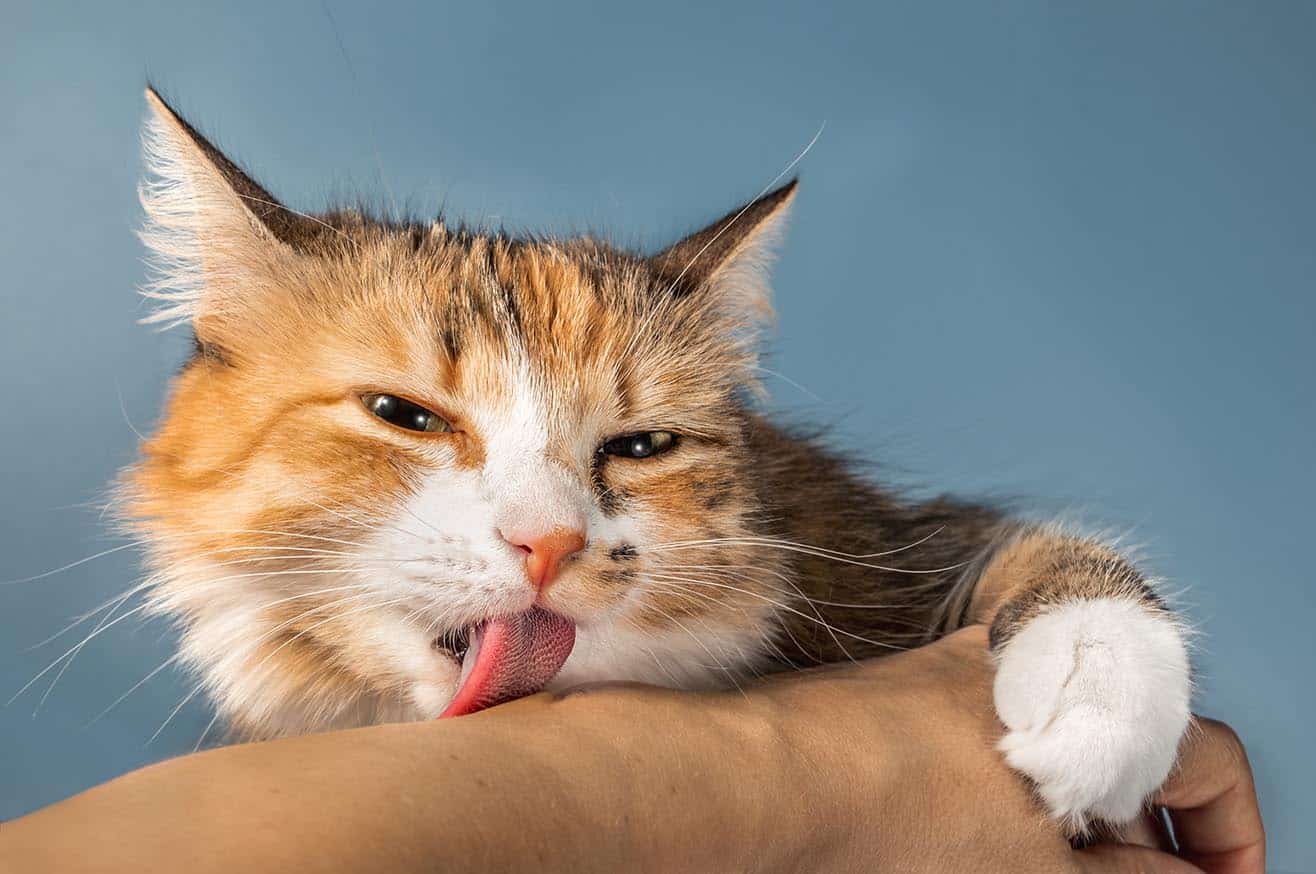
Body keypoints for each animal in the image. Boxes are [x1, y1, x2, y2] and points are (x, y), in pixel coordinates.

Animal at [121, 88, 1194, 831]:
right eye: (404, 415)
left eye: (640, 446)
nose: (548, 543)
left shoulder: (887, 543)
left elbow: (1048, 555)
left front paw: (1101, 702)